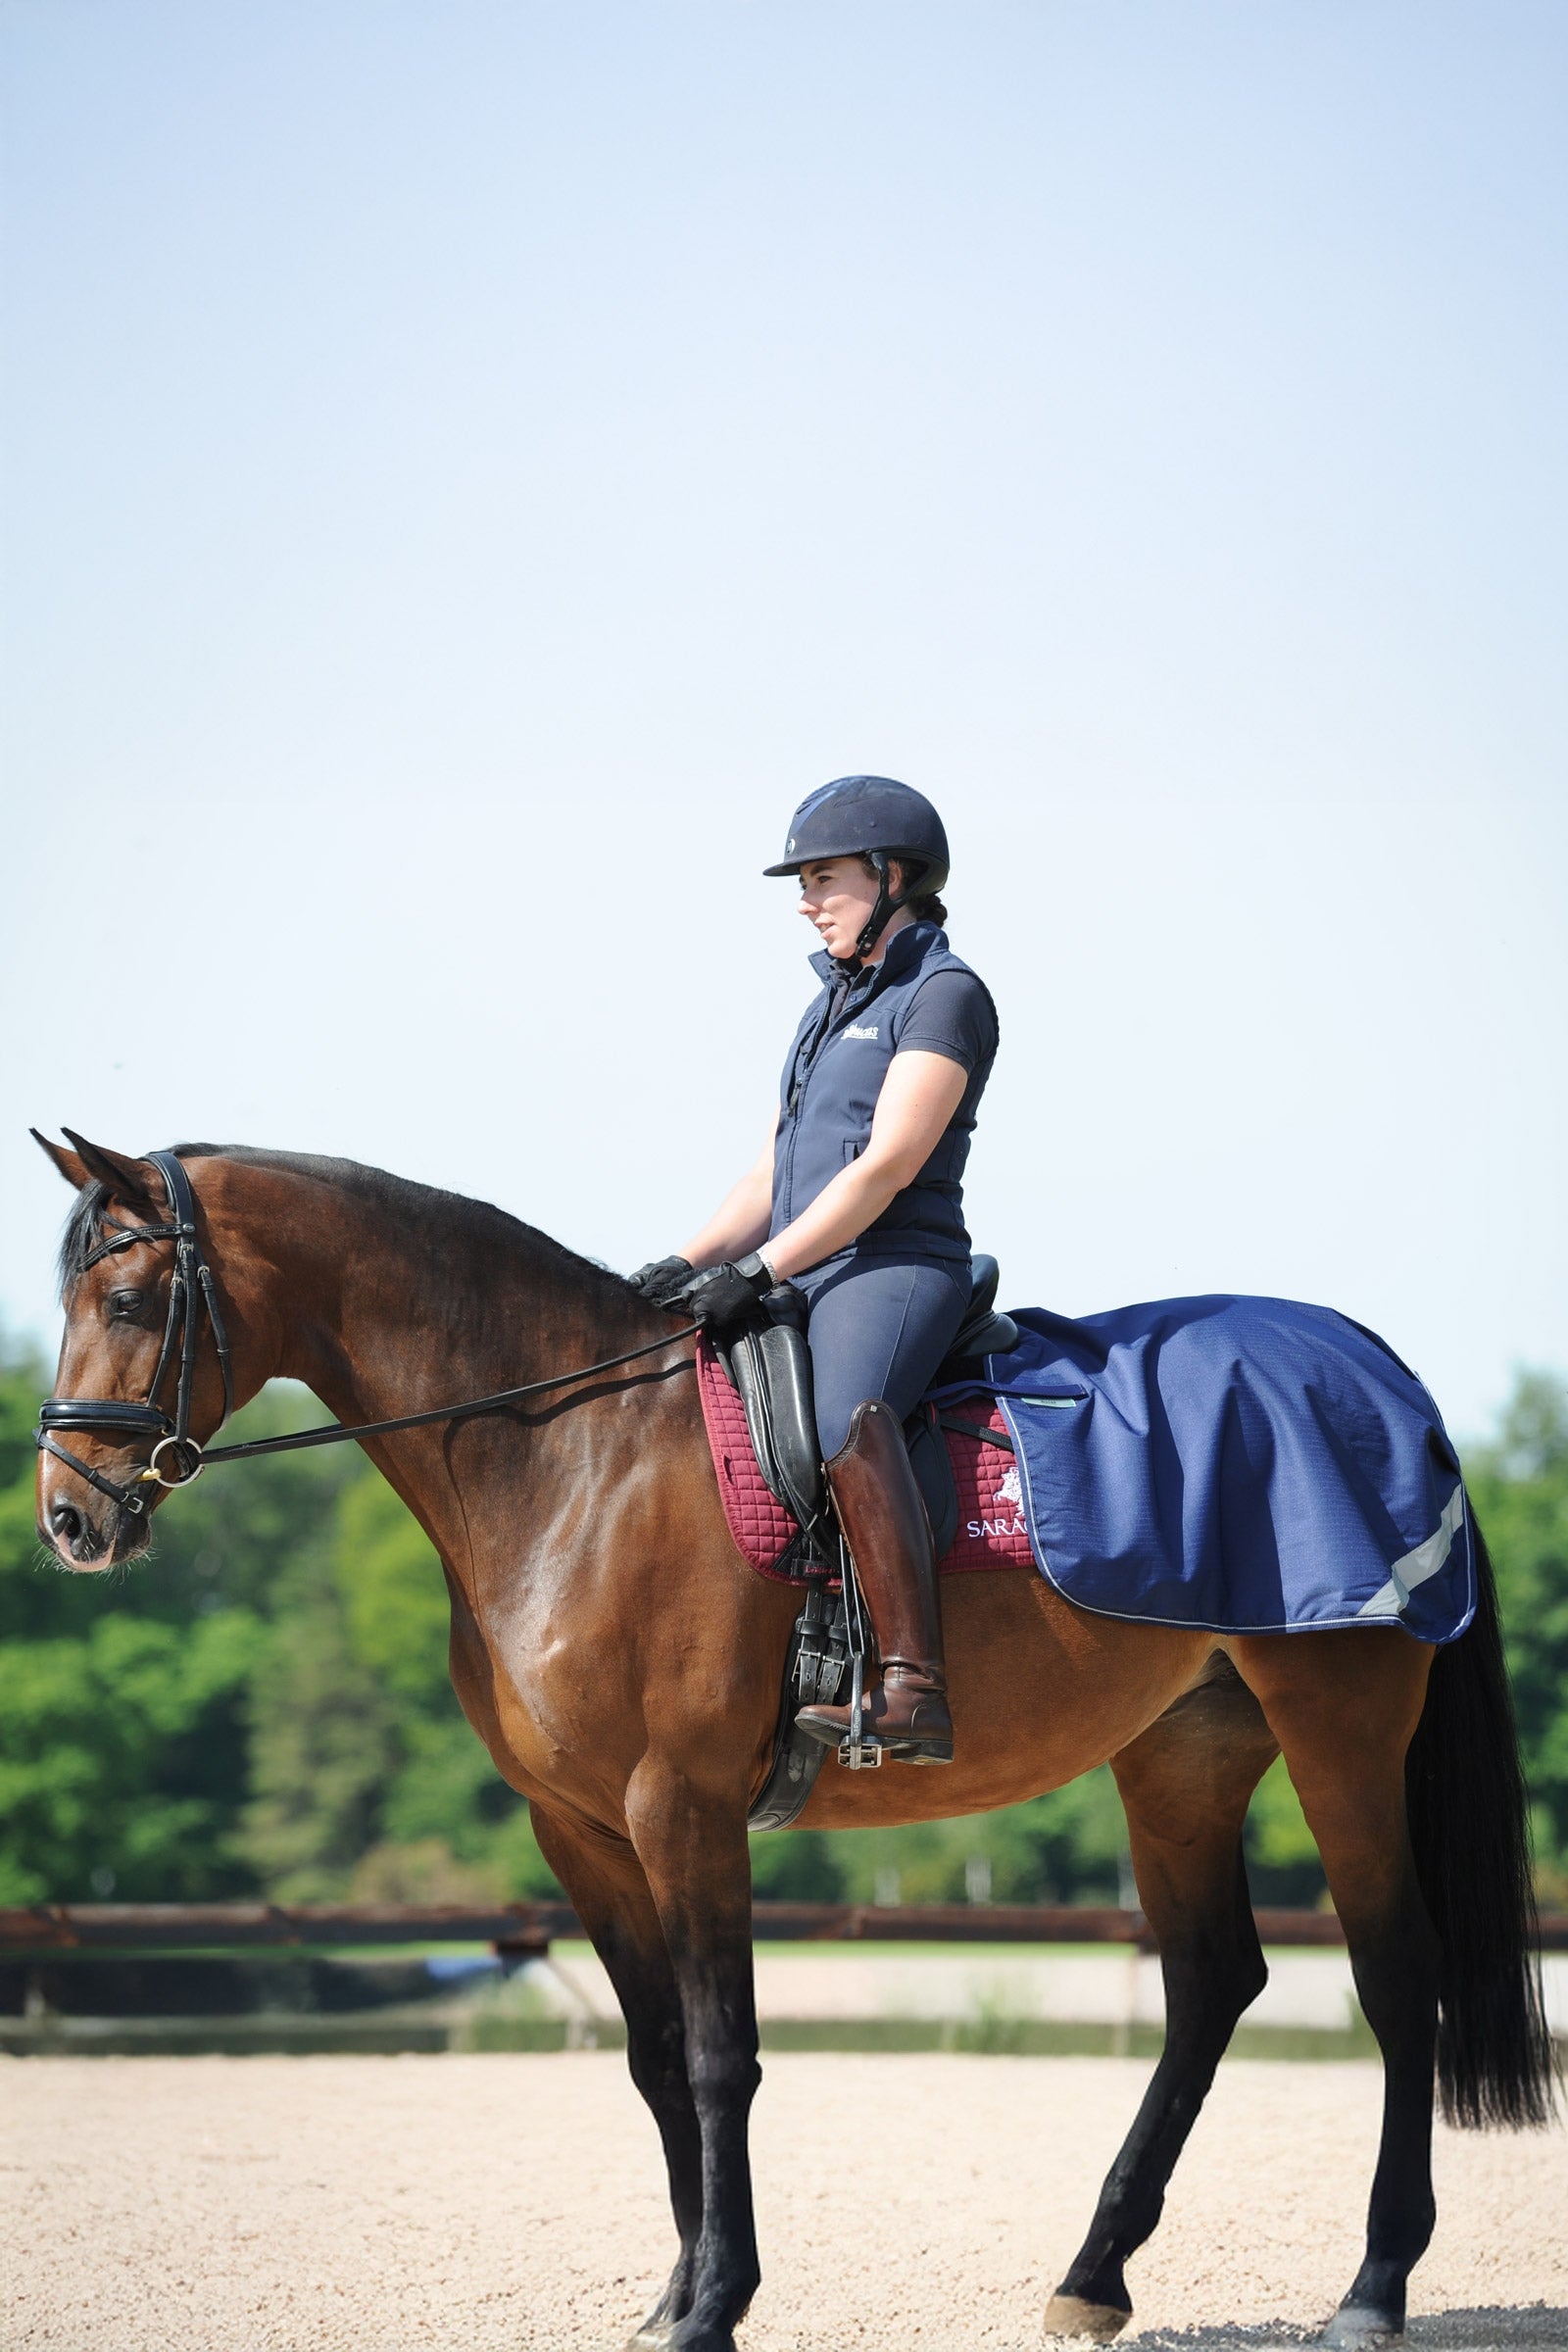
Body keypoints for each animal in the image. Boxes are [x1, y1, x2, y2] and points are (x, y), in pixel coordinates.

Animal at [32, 1133, 1554, 2352]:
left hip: (1339, 1734)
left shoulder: (682, 1809)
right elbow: (656, 2058)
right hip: (1182, 1756)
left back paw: (1371, 2290)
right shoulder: (579, 1832)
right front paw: (674, 2293)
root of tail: (1371, 1368)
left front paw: (716, 2305)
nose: (67, 1518)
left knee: (1395, 1975)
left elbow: (722, 2057)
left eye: (130, 1299)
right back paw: (1094, 2278)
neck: (569, 1452)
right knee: (1210, 1985)